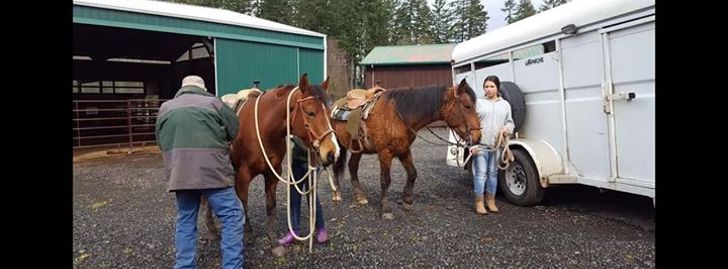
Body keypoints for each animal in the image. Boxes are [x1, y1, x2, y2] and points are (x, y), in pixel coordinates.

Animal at [206, 74, 340, 253]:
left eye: (329, 112)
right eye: (310, 112)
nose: (333, 152)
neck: (263, 130)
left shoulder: (272, 173)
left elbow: (271, 205)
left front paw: (273, 242)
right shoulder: (242, 176)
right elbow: (244, 203)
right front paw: (248, 235)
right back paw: (211, 231)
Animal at [332, 79, 480, 218]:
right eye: (467, 106)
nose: (478, 136)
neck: (397, 117)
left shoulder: (403, 149)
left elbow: (413, 173)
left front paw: (407, 201)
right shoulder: (385, 152)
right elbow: (385, 180)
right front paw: (386, 210)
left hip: (358, 148)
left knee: (352, 167)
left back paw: (360, 196)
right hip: (338, 144)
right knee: (336, 166)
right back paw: (337, 194)